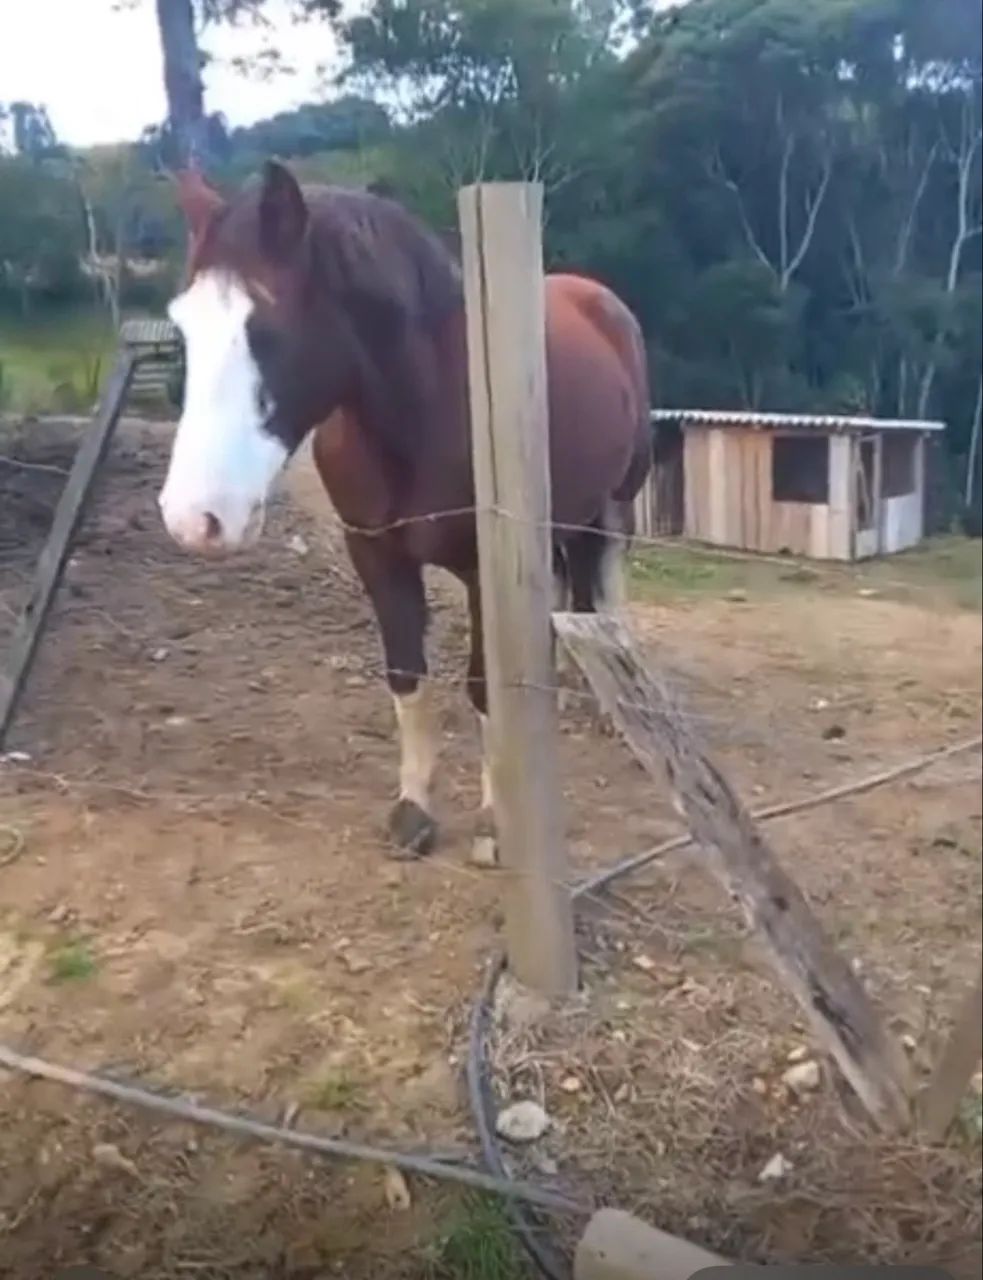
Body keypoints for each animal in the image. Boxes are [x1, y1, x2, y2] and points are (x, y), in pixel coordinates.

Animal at [159, 161, 652, 861]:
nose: (193, 518)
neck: (427, 402)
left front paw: (495, 821)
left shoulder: (482, 567)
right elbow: (406, 676)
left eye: (266, 331)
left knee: (603, 585)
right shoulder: (375, 552)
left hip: (613, 505)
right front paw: (413, 811)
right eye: (182, 330)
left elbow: (482, 685)